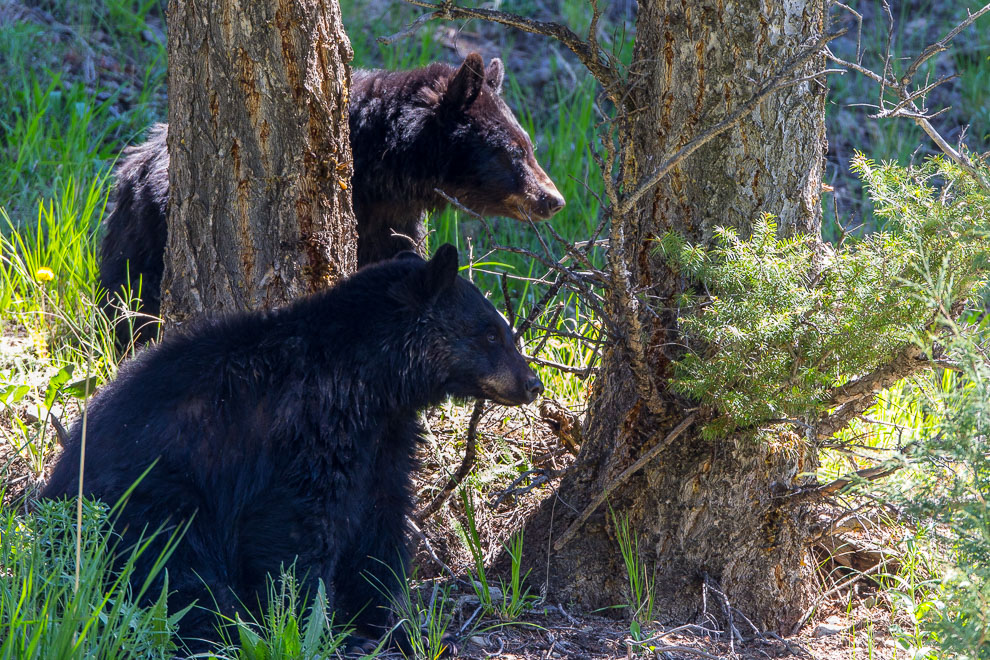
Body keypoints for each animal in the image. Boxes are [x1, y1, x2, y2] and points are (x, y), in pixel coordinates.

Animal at [42, 244, 548, 648]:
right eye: (491, 332)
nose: (533, 383)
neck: (368, 379)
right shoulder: (307, 432)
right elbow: (298, 534)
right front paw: (306, 624)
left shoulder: (381, 440)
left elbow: (380, 521)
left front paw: (382, 622)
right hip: (154, 500)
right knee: (172, 570)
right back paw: (217, 628)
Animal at [102, 52, 564, 346]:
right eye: (512, 151)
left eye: (530, 146)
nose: (553, 199)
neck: (386, 172)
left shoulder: (395, 221)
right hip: (142, 248)